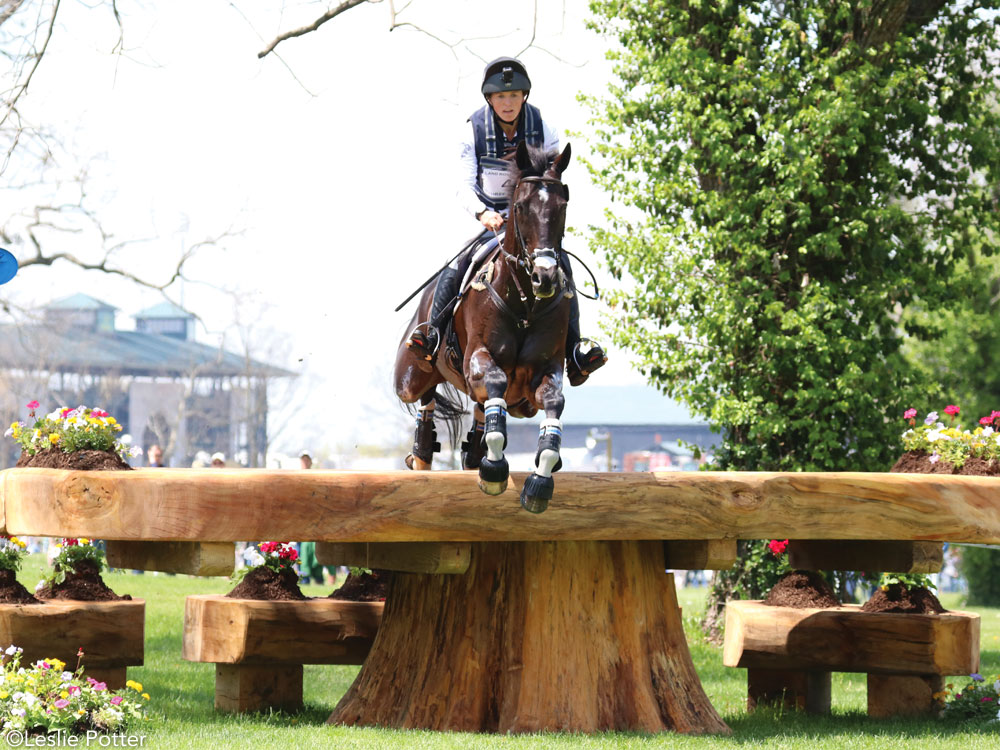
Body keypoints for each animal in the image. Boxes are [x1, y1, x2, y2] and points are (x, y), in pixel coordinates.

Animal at [394, 142, 576, 516]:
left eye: (562, 206)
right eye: (520, 207)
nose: (545, 277)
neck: (526, 304)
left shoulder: (542, 377)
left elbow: (552, 404)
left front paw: (540, 479)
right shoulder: (478, 358)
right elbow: (494, 380)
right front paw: (494, 469)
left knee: (479, 408)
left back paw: (473, 451)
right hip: (410, 374)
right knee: (425, 396)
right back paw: (422, 453)